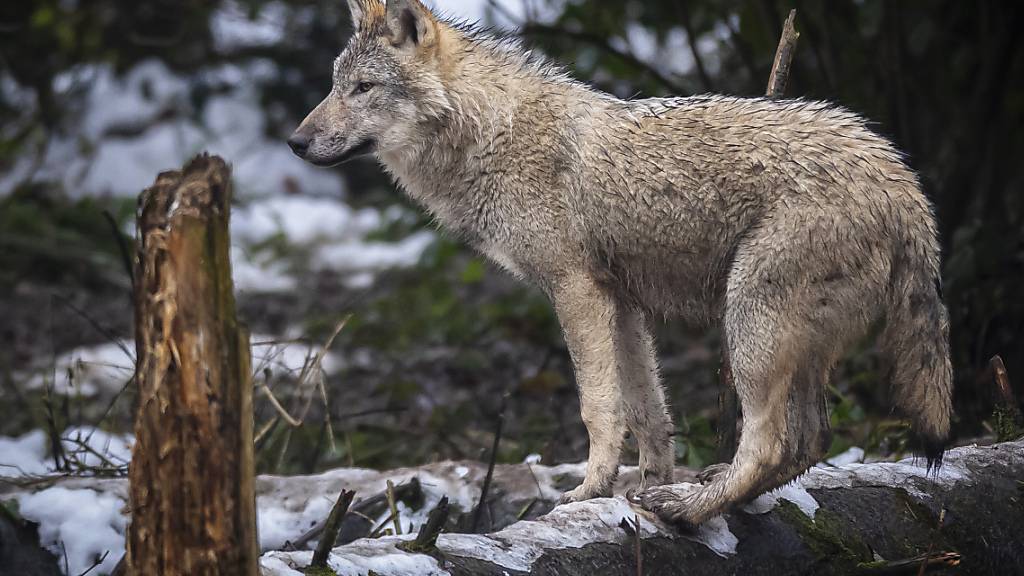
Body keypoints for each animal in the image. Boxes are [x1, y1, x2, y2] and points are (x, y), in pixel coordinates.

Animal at [286, 0, 950, 524]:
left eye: (363, 89)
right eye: (335, 85)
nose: (294, 142)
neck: (492, 135)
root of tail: (903, 182)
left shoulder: (575, 291)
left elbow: (597, 407)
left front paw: (589, 489)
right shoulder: (622, 302)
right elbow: (647, 411)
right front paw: (644, 484)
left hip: (749, 326)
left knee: (770, 443)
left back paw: (689, 510)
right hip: (793, 345)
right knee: (810, 442)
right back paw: (696, 498)